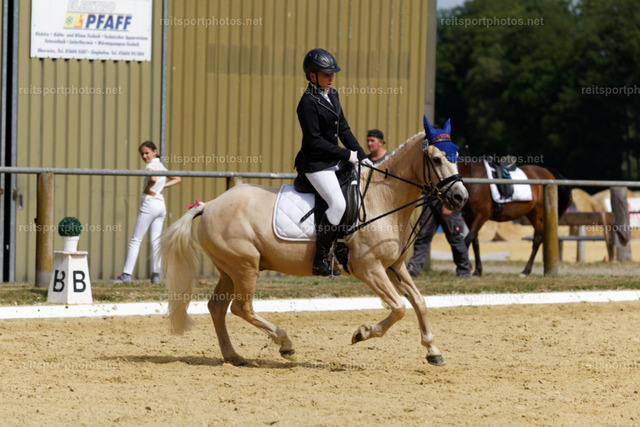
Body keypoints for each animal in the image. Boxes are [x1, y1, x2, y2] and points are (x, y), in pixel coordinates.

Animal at [159, 128, 468, 367]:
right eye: (437, 159)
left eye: (456, 157)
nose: (460, 197)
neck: (383, 198)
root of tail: (209, 205)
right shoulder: (369, 269)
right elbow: (399, 307)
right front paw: (362, 333)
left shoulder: (395, 266)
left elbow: (419, 302)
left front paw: (433, 352)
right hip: (245, 266)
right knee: (241, 308)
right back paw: (285, 344)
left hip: (229, 270)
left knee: (217, 308)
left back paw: (234, 356)